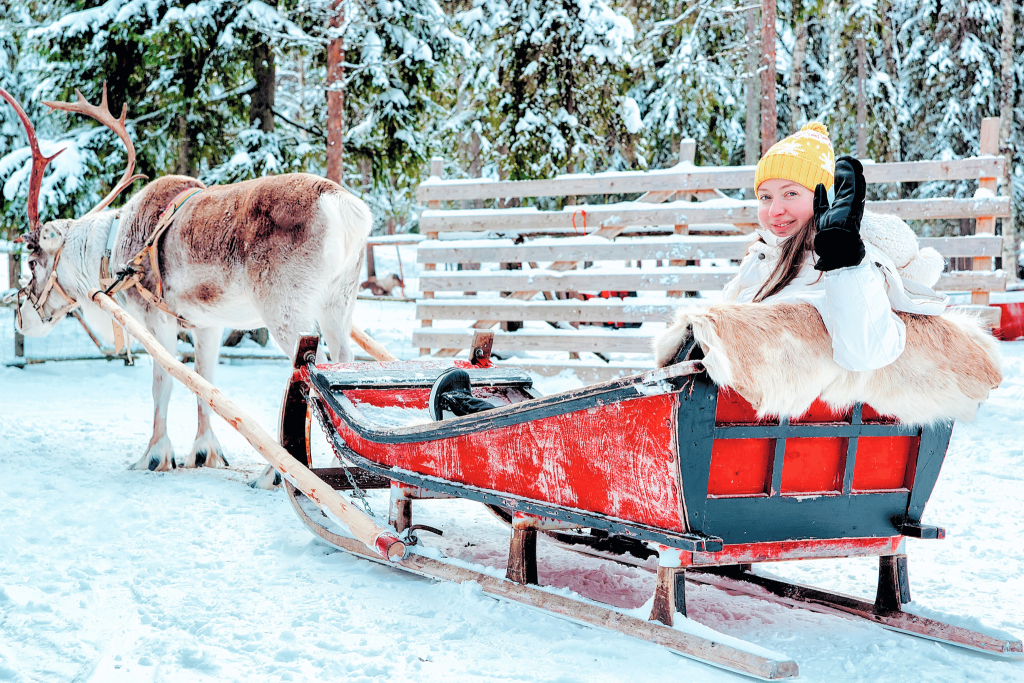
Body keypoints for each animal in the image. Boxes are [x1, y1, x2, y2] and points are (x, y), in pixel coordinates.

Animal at [1, 85, 371, 489]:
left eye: (32, 263)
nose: (20, 318)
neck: (109, 252)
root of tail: (345, 207)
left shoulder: (155, 317)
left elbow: (163, 382)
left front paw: (154, 456)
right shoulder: (207, 323)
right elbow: (205, 382)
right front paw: (205, 452)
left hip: (286, 309)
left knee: (305, 376)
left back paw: (276, 471)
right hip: (338, 303)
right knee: (344, 365)